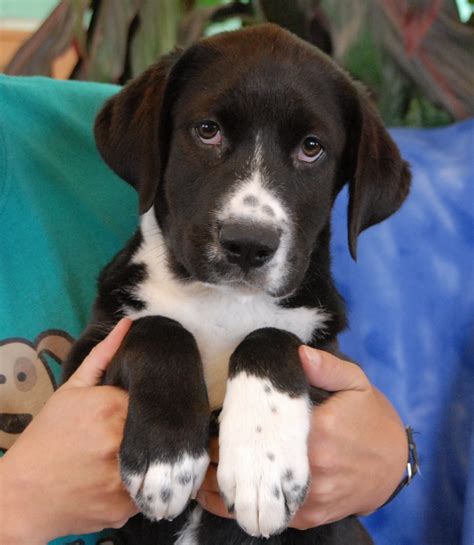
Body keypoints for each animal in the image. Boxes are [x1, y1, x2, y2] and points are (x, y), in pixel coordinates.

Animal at [64, 22, 412, 544]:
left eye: (312, 147)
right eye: (208, 130)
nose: (248, 243)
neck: (222, 303)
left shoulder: (332, 358)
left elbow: (269, 335)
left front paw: (262, 468)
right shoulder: (85, 358)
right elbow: (160, 327)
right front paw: (167, 460)